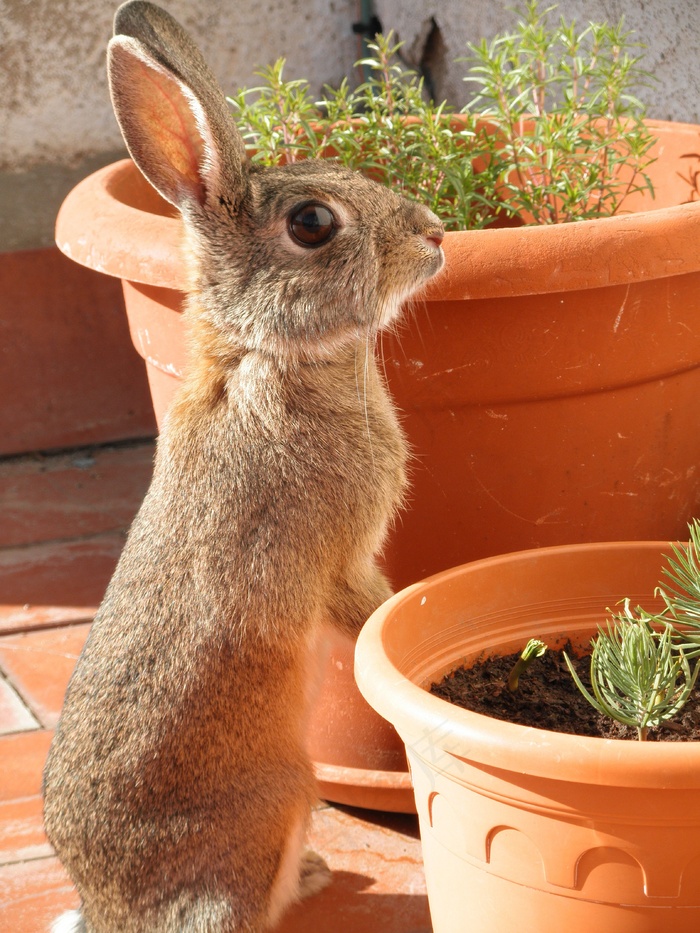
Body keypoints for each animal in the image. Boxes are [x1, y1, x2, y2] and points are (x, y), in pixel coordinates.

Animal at [43, 1, 446, 932]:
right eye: (312, 224)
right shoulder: (338, 558)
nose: (434, 234)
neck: (268, 356)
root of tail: (111, 911)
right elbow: (368, 609)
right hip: (273, 807)